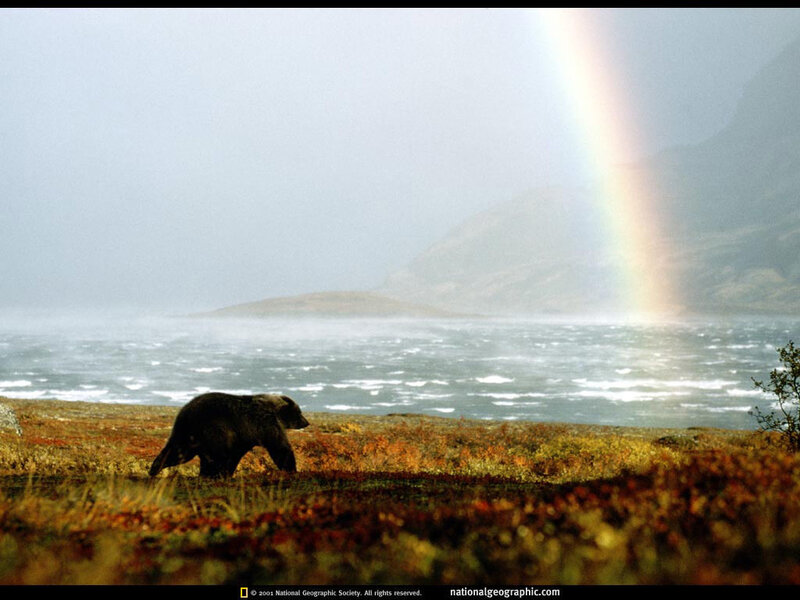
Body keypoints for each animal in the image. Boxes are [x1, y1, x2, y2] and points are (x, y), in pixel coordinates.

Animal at [148, 392, 309, 478]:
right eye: (299, 412)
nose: (306, 422)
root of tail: (186, 411)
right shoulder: (264, 423)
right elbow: (279, 447)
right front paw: (291, 468)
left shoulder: (243, 437)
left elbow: (235, 455)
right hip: (214, 428)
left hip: (187, 434)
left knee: (177, 451)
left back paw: (154, 467)